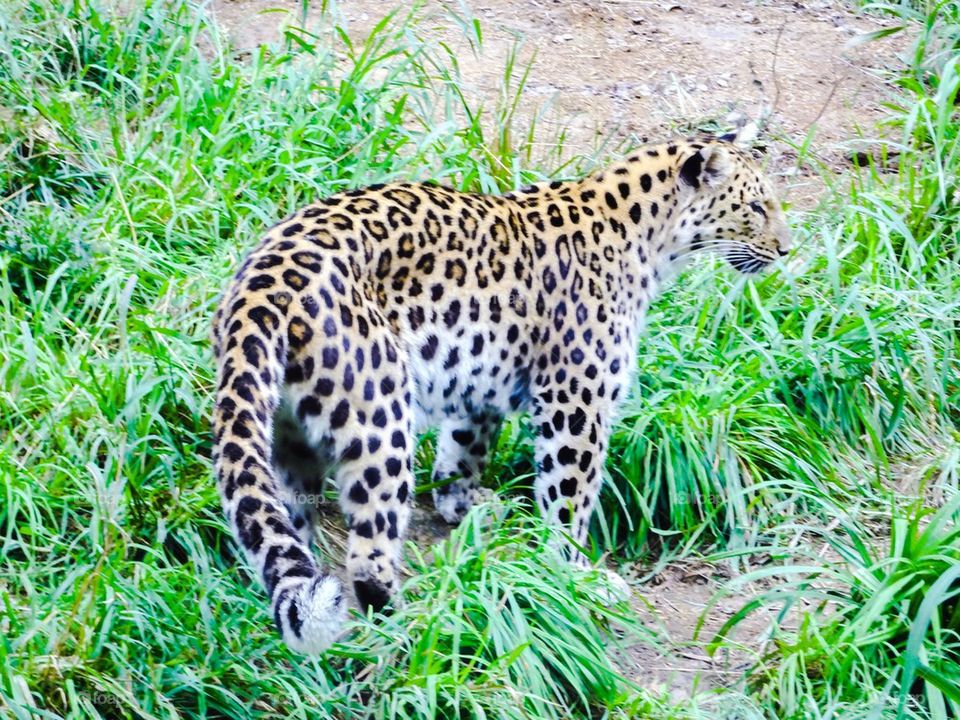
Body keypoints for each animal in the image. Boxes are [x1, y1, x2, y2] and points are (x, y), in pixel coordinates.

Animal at [208, 129, 788, 652]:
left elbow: (463, 451)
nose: (785, 250)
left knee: (282, 530)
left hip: (285, 434)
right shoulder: (576, 394)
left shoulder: (478, 377)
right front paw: (576, 575)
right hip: (380, 419)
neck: (651, 239)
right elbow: (569, 494)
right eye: (756, 206)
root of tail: (260, 286)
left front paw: (465, 506)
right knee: (368, 557)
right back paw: (413, 630)